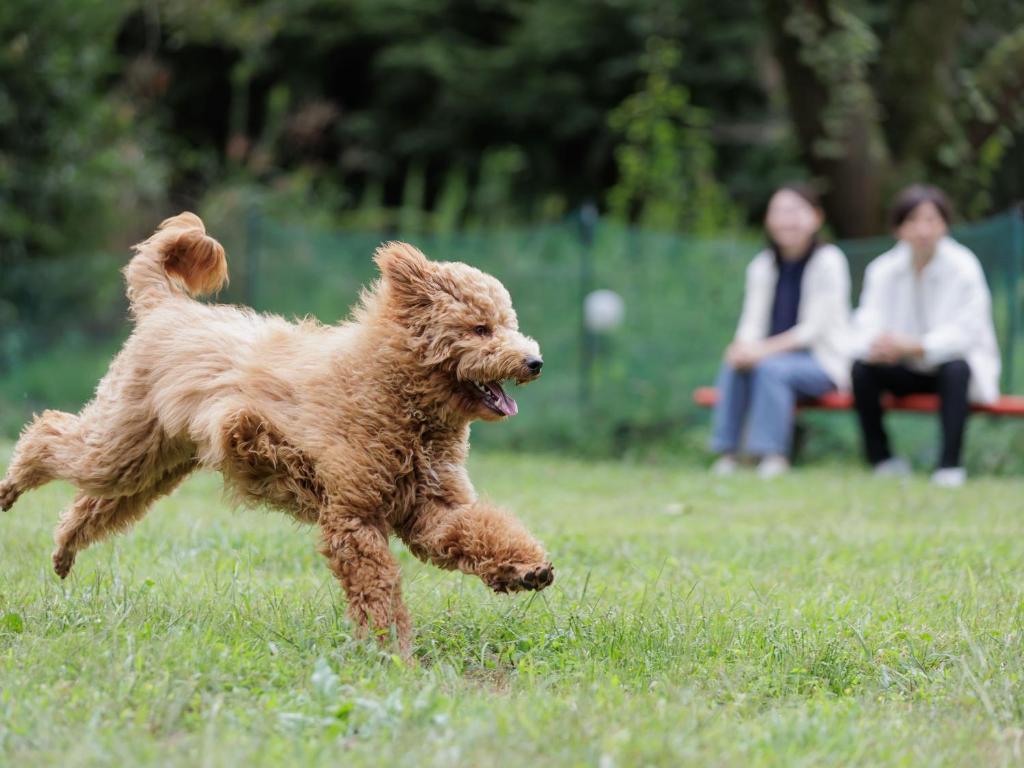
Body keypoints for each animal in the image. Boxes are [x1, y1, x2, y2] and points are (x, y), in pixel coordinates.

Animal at [0, 211, 552, 655]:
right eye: (481, 329)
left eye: (509, 323)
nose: (535, 362)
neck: (392, 393)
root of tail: (168, 307)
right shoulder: (352, 518)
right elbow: (378, 588)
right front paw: (388, 649)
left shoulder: (431, 510)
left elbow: (476, 532)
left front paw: (528, 569)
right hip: (120, 444)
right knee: (47, 434)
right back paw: (9, 489)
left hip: (149, 464)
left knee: (95, 503)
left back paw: (63, 552)